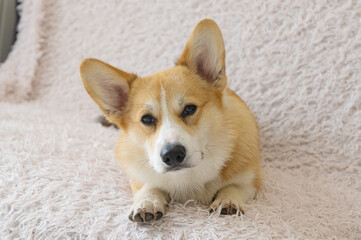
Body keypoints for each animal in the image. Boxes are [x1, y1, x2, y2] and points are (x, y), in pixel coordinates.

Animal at [79, 18, 262, 223]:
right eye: (147, 119)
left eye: (189, 109)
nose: (172, 154)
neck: (188, 178)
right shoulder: (140, 176)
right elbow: (150, 186)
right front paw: (147, 202)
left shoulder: (251, 180)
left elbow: (234, 187)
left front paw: (228, 200)